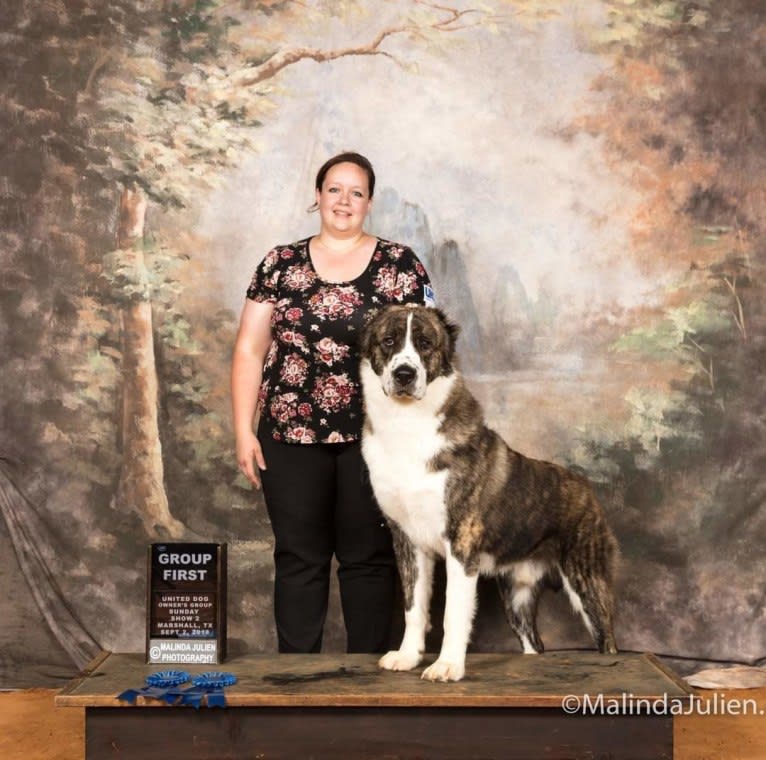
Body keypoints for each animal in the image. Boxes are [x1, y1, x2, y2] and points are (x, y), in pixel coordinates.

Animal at [360, 302, 616, 684]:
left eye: (425, 343)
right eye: (388, 341)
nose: (405, 374)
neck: (408, 424)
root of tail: (586, 489)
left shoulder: (460, 545)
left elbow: (453, 613)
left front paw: (447, 666)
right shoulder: (408, 541)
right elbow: (413, 605)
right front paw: (407, 656)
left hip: (588, 581)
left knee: (608, 641)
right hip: (517, 597)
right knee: (533, 644)